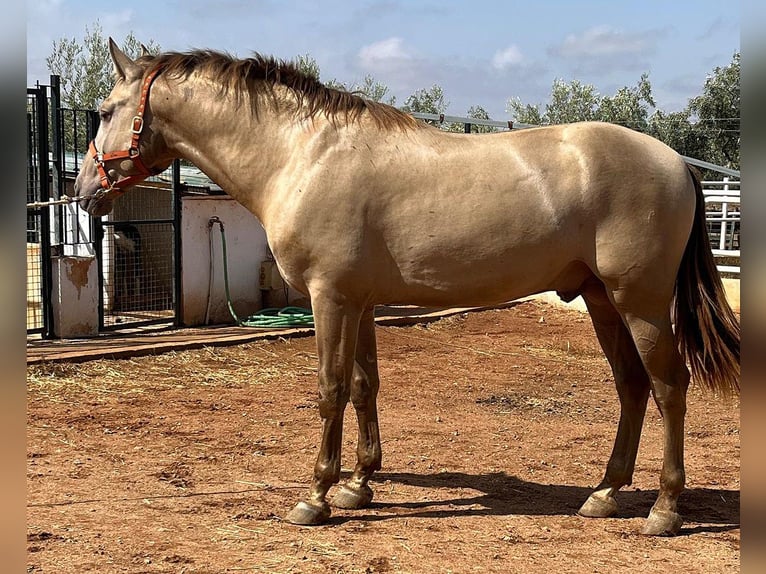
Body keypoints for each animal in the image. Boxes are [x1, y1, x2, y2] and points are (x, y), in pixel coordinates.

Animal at [75, 39, 740, 536]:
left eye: (105, 110)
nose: (83, 191)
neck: (304, 154)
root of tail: (675, 162)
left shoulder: (330, 299)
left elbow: (330, 390)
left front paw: (316, 496)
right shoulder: (360, 303)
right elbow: (364, 387)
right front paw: (358, 484)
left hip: (640, 302)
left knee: (668, 387)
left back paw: (664, 510)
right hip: (602, 300)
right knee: (632, 387)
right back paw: (604, 493)